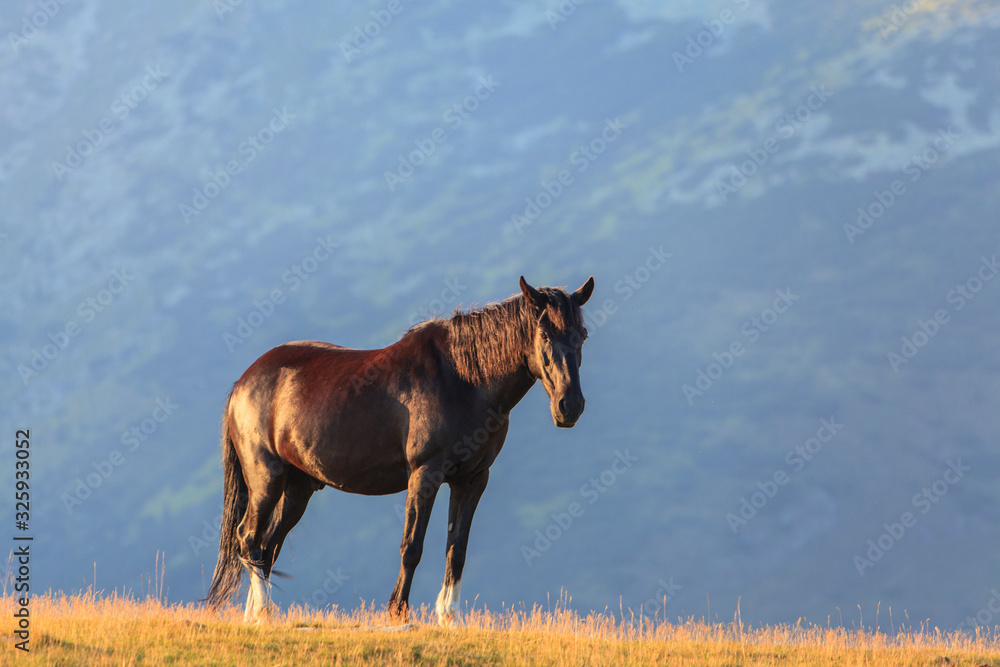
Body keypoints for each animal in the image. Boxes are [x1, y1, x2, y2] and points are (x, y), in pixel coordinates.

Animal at [206, 275, 594, 625]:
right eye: (544, 335)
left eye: (583, 335)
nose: (570, 406)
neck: (463, 379)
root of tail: (244, 383)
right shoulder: (425, 474)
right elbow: (412, 546)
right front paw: (399, 613)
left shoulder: (472, 480)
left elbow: (457, 549)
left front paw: (449, 617)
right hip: (265, 479)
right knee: (249, 538)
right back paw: (261, 612)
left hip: (298, 486)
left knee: (267, 546)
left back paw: (256, 615)